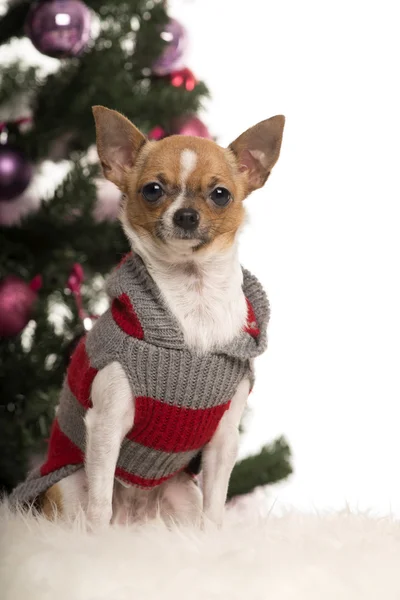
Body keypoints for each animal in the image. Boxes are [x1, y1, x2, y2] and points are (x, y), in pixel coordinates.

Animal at [10, 108, 282, 528]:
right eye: (152, 190)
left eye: (220, 194)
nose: (186, 215)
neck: (193, 300)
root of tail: (134, 520)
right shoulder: (106, 426)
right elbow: (100, 505)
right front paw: (97, 541)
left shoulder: (223, 440)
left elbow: (215, 508)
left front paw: (211, 539)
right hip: (68, 485)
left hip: (182, 496)